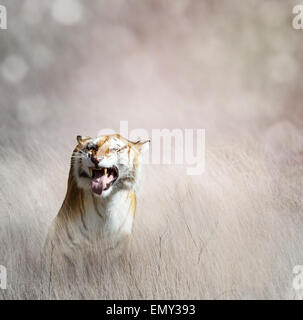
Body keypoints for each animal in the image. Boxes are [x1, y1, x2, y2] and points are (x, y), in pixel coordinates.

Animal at [44, 134, 150, 266]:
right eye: (92, 147)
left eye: (115, 149)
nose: (95, 159)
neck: (106, 202)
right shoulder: (71, 248)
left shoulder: (117, 250)